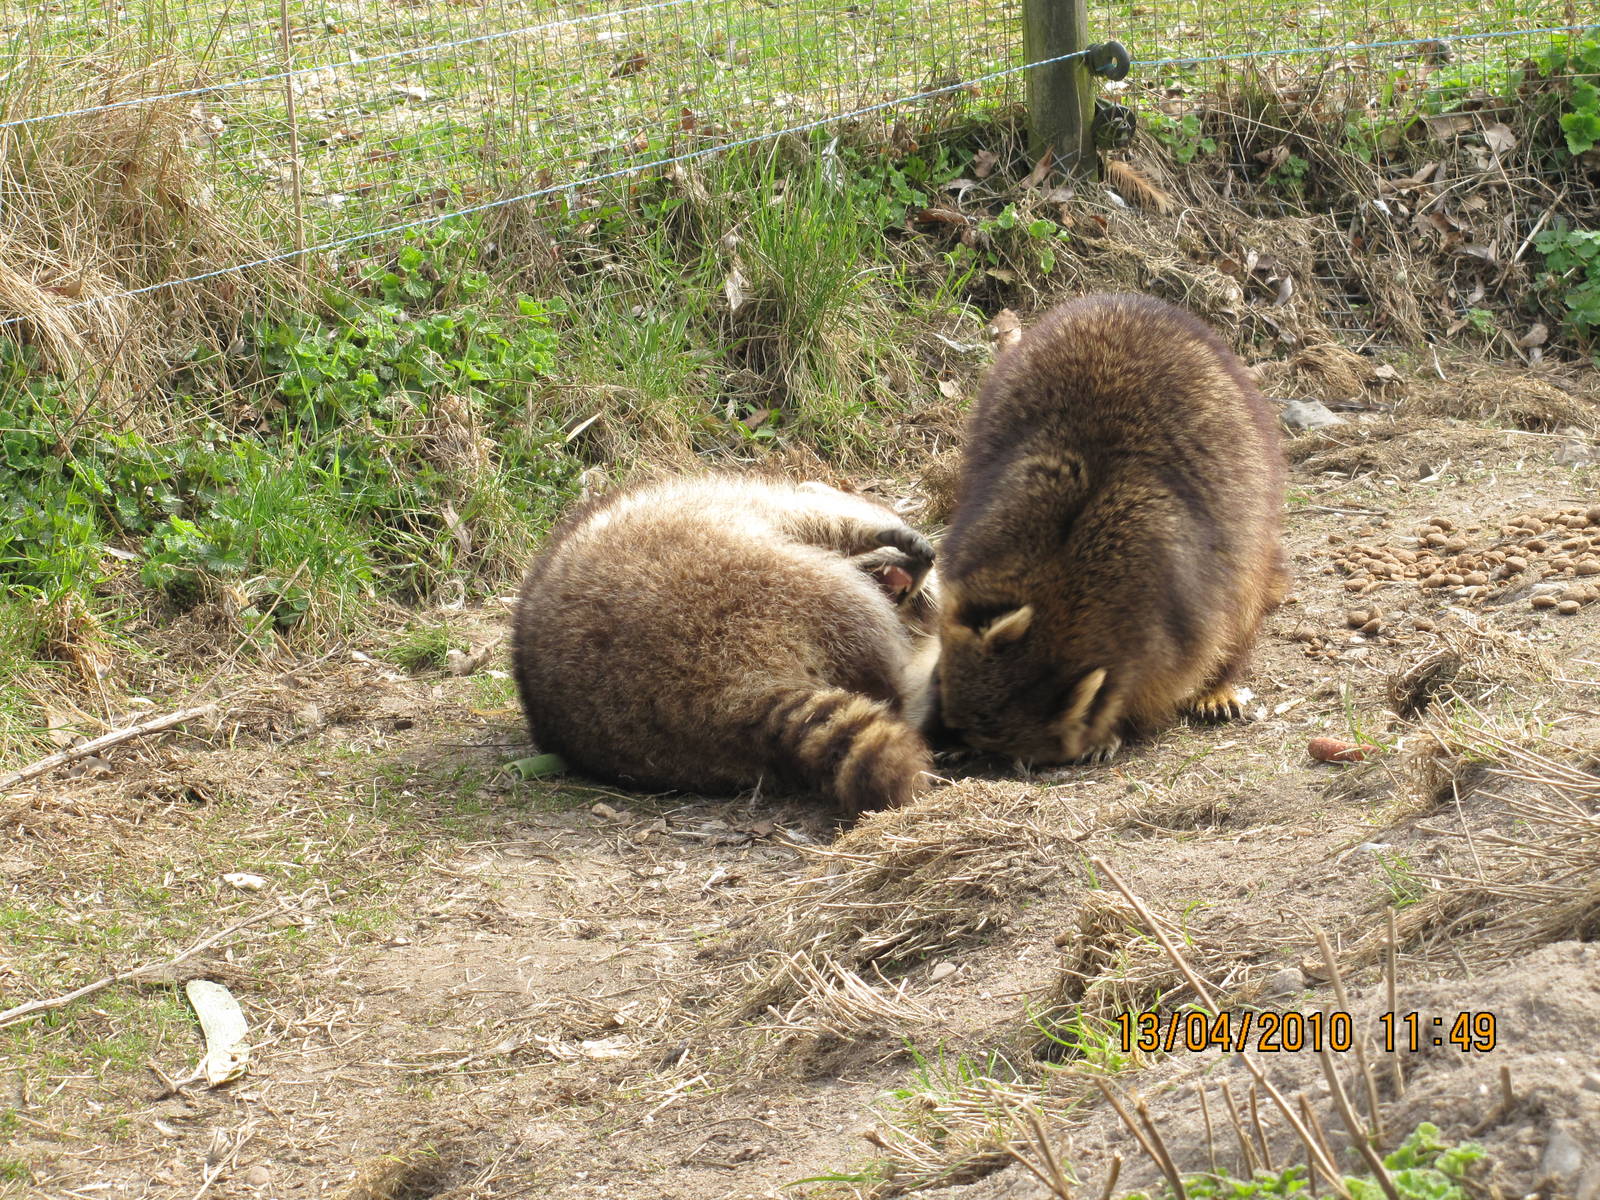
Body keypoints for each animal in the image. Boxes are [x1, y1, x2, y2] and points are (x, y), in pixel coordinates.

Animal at [511, 474, 939, 813]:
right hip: (734, 576)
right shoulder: (759, 505)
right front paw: (882, 530)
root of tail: (729, 694)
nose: (926, 566)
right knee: (849, 609)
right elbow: (826, 521)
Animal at [935, 292, 1287, 764]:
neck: (1058, 597)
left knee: (1244, 599)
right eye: (956, 724)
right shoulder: (981, 534)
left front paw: (1116, 725)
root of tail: (1128, 300)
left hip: (1252, 474)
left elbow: (1176, 664)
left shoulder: (1178, 608)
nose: (946, 737)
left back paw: (1220, 682)